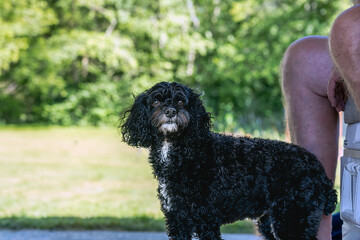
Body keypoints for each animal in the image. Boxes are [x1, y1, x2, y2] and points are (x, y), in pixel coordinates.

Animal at [121, 81, 338, 239]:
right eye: (156, 101)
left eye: (181, 102)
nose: (171, 112)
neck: (184, 152)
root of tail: (320, 170)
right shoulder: (177, 218)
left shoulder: (206, 218)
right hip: (272, 221)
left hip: (293, 219)